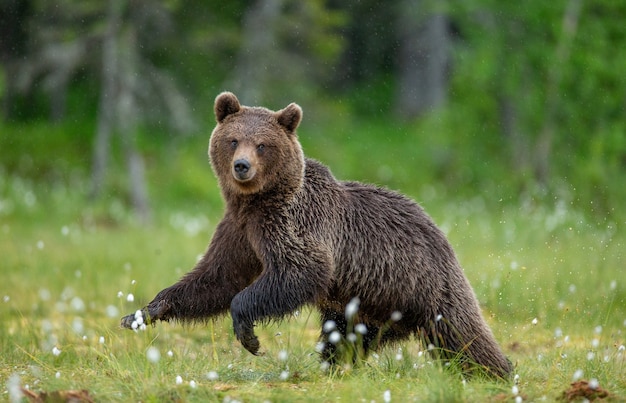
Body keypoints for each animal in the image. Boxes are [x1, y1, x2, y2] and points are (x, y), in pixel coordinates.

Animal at [122, 91, 512, 378]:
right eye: (233, 140)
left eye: (262, 144)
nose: (242, 166)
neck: (257, 202)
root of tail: (441, 234)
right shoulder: (240, 229)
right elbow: (217, 277)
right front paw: (143, 312)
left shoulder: (294, 224)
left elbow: (300, 269)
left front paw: (249, 336)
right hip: (361, 305)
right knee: (344, 339)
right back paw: (336, 366)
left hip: (423, 284)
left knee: (463, 336)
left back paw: (500, 371)